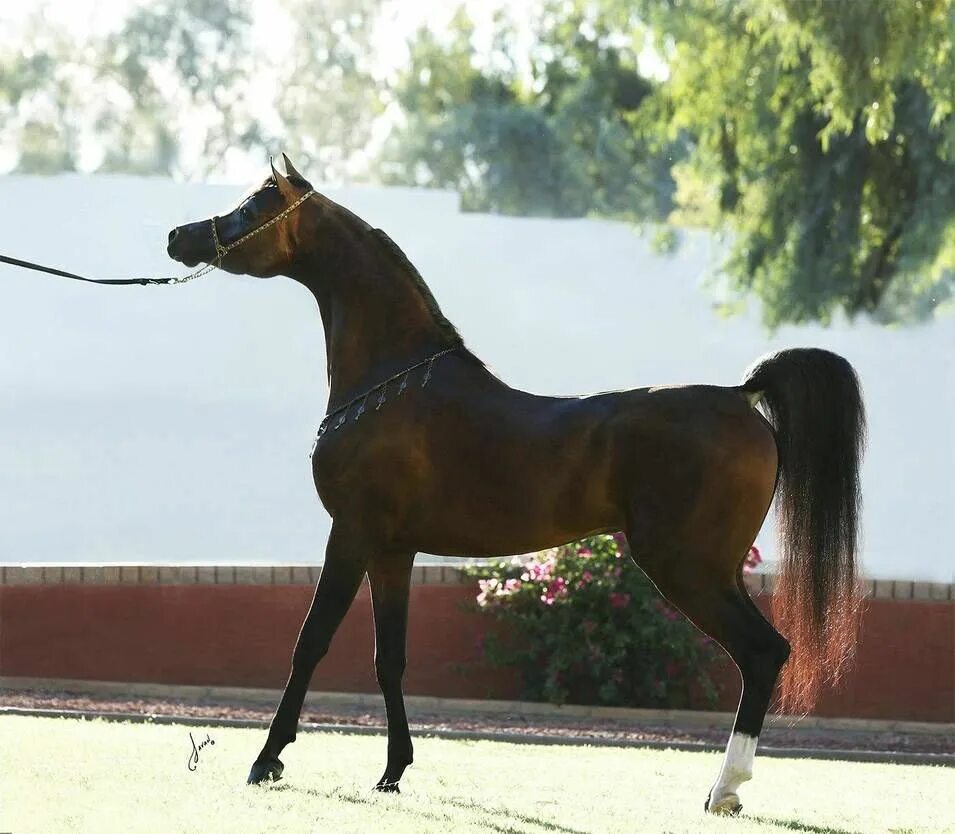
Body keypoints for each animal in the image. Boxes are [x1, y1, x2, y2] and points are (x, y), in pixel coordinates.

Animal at [166, 156, 868, 812]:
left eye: (253, 205)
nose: (179, 236)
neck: (395, 381)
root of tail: (740, 396)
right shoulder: (393, 551)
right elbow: (388, 657)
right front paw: (393, 772)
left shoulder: (352, 534)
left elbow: (310, 643)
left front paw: (267, 760)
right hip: (711, 571)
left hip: (688, 569)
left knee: (762, 653)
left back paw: (724, 789)